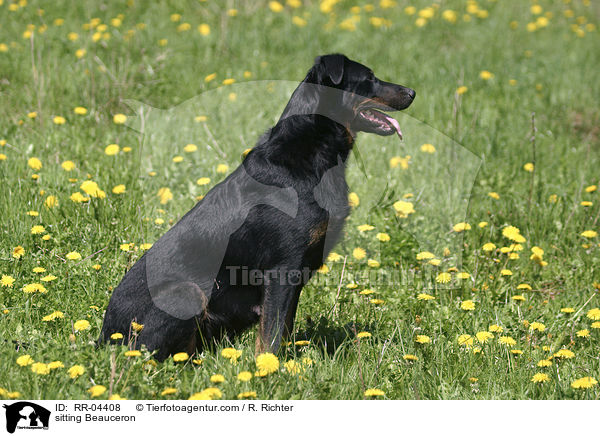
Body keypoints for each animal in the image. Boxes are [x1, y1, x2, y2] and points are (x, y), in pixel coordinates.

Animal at [99, 55, 418, 362]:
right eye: (370, 78)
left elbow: (284, 329)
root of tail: (104, 338)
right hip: (186, 293)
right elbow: (271, 336)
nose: (413, 92)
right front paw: (267, 370)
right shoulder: (282, 271)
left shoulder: (295, 277)